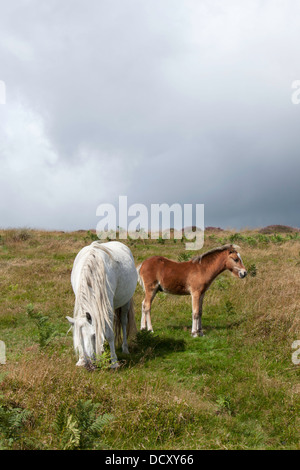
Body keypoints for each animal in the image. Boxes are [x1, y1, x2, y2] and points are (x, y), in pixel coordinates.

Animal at [67, 241, 137, 370]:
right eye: (79, 337)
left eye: (93, 335)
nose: (89, 365)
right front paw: (81, 360)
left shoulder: (107, 307)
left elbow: (109, 334)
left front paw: (114, 362)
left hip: (125, 302)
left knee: (124, 322)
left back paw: (125, 348)